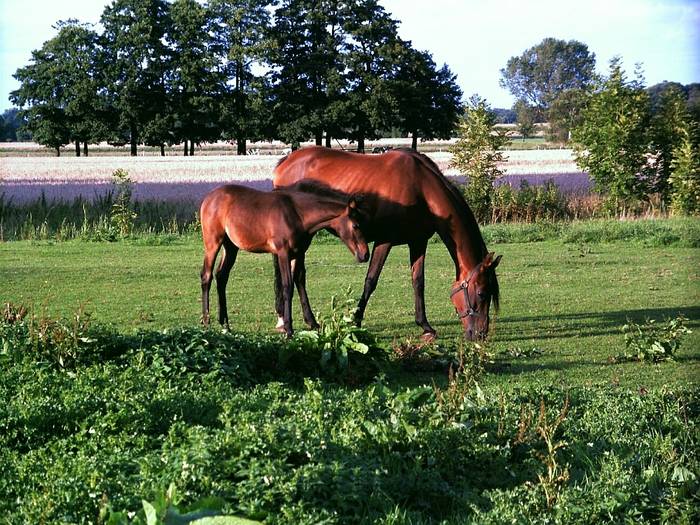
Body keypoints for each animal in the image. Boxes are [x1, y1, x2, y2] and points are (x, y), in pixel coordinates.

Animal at [200, 181, 370, 336]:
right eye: (355, 225)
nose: (365, 254)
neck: (298, 215)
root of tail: (208, 198)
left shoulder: (298, 253)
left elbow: (299, 281)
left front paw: (312, 322)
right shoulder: (283, 253)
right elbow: (287, 286)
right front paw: (288, 328)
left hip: (230, 247)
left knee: (221, 276)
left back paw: (225, 324)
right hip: (213, 242)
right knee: (206, 275)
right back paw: (206, 321)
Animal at [270, 146, 500, 340]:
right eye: (481, 293)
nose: (480, 334)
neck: (420, 188)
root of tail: (285, 162)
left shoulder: (418, 242)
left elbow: (418, 281)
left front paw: (425, 326)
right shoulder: (384, 240)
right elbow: (371, 281)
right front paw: (356, 321)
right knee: (298, 275)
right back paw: (305, 322)